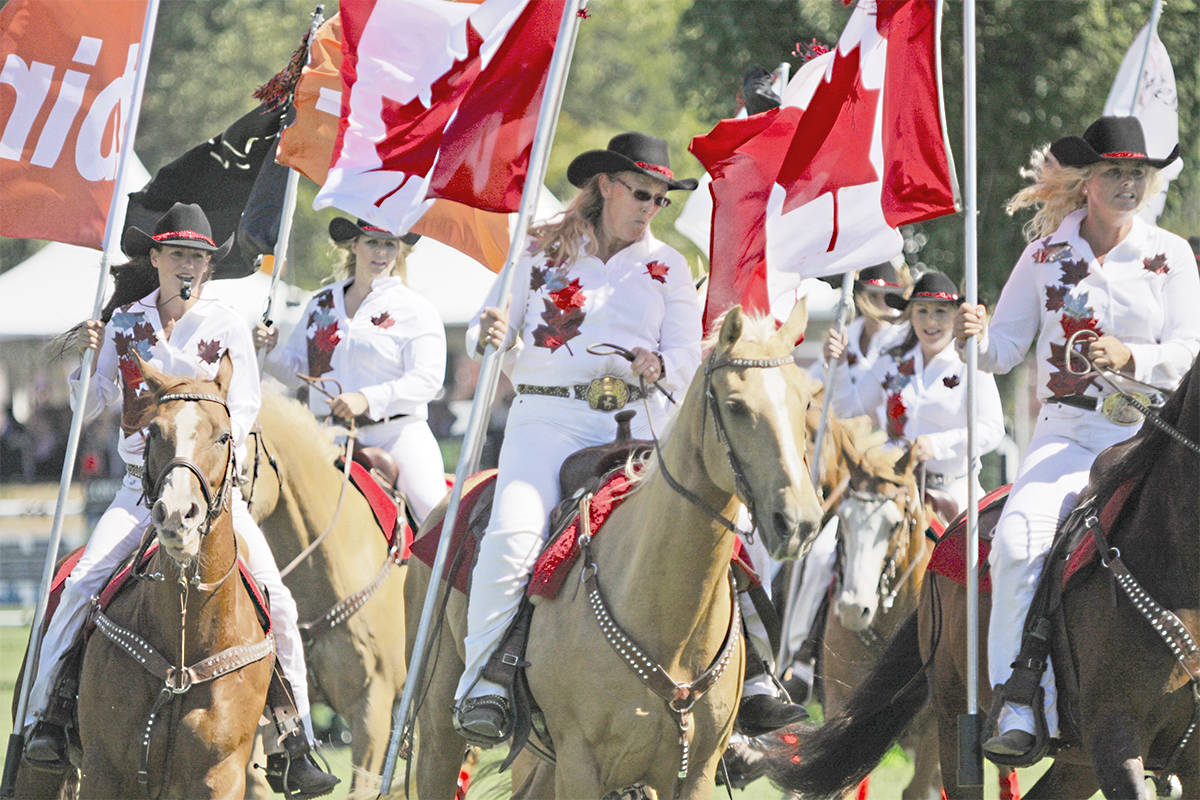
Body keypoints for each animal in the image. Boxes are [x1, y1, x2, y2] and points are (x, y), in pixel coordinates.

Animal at [403, 303, 825, 796]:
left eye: (806, 402)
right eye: (736, 406)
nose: (798, 522)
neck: (666, 620)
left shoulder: (695, 770)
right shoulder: (581, 764)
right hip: (438, 730)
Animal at [758, 352, 1200, 796]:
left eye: (898, 523)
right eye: (841, 527)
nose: (853, 608)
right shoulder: (1113, 739)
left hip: (1072, 762)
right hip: (956, 715)